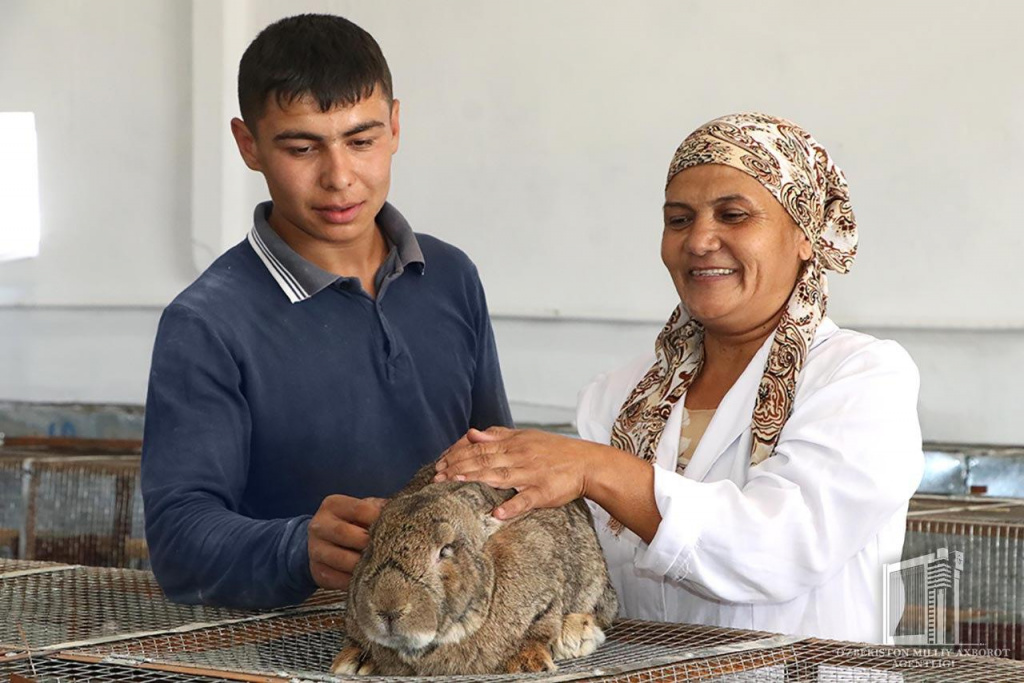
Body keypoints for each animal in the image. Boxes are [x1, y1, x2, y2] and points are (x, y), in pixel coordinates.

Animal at [331, 462, 614, 675]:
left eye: (445, 550)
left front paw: (527, 664)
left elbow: (538, 628)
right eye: (372, 545)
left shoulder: (545, 586)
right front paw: (352, 662)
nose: (389, 609)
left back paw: (574, 636)